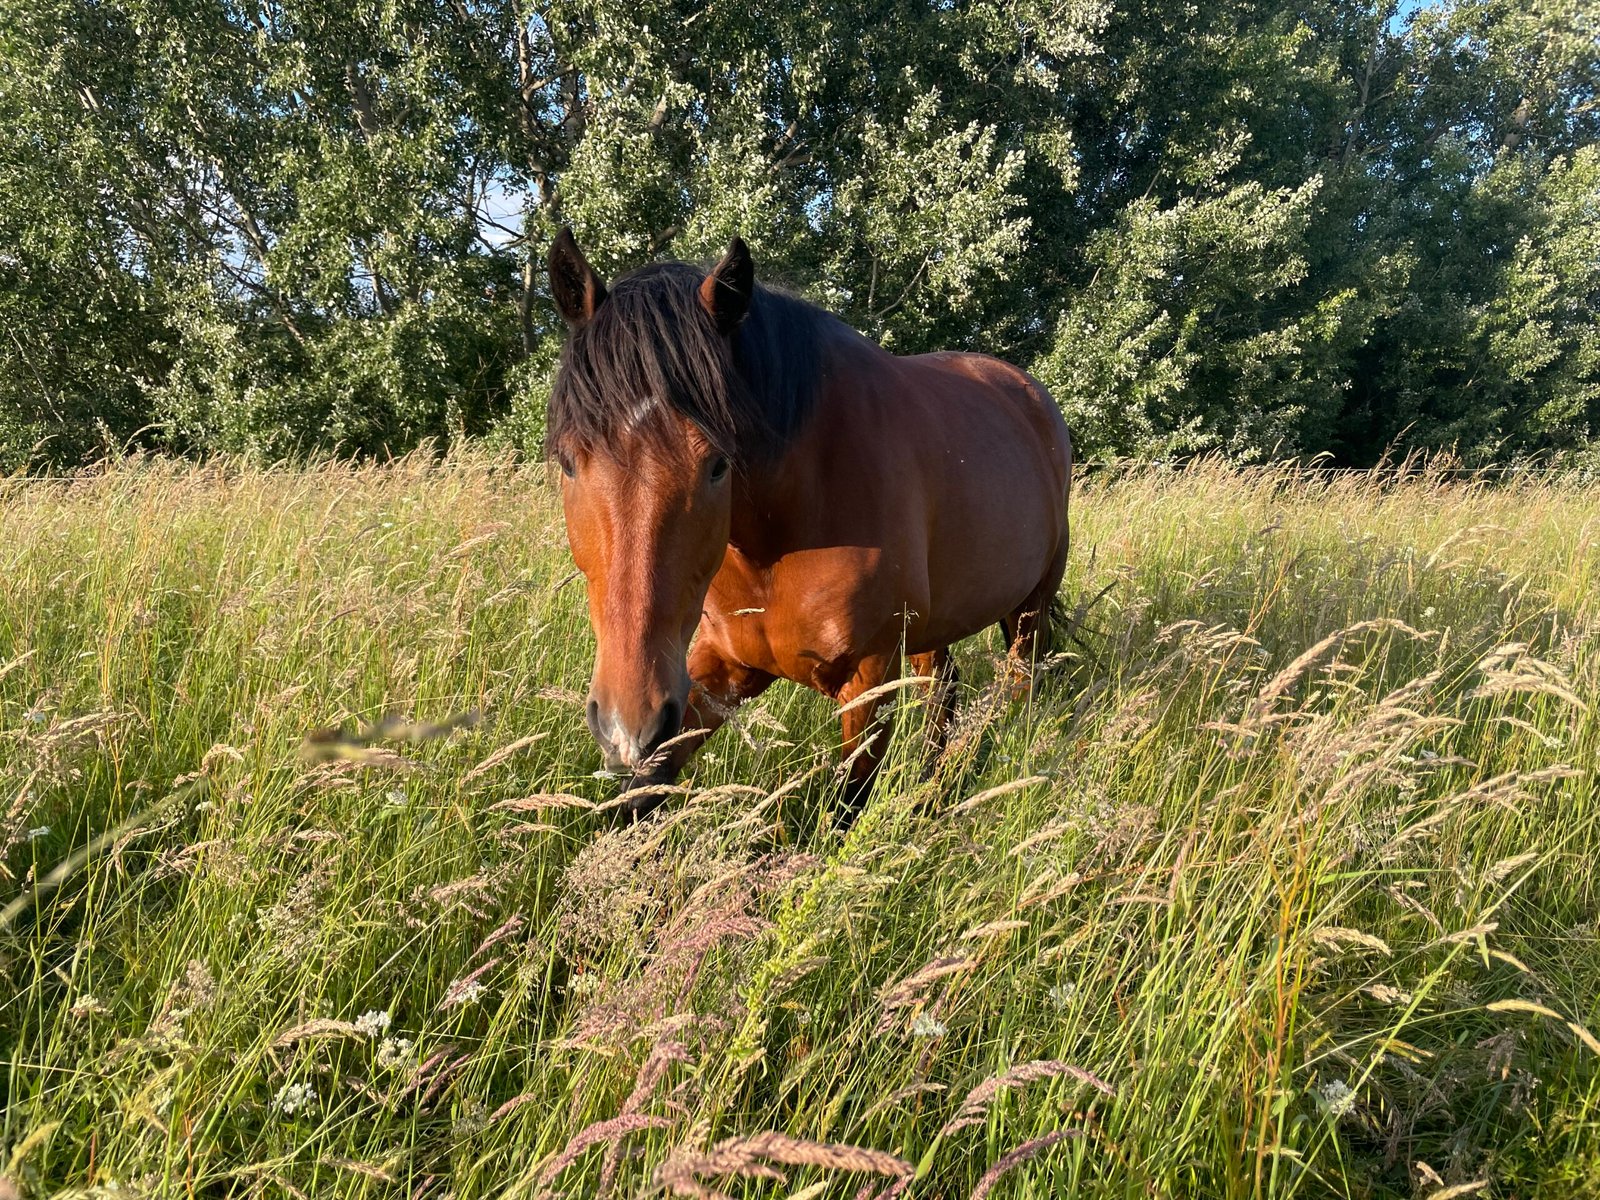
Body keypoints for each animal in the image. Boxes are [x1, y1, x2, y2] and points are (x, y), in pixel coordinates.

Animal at [545, 228, 1072, 820]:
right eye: (568, 461)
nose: (627, 726)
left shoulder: (868, 679)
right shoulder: (721, 669)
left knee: (1013, 689)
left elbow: (846, 805)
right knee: (944, 691)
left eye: (717, 465)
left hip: (1030, 612)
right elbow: (638, 798)